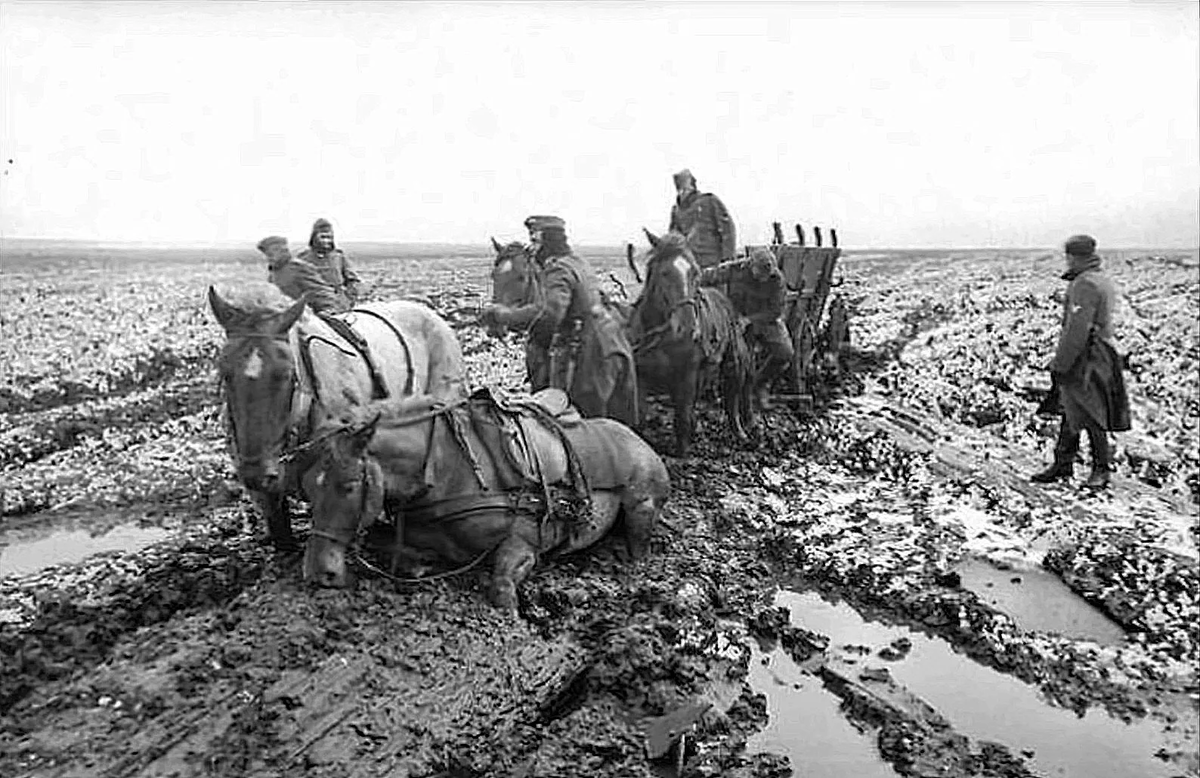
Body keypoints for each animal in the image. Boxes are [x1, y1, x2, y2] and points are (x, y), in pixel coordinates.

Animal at [304, 386, 672, 609]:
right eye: (308, 489)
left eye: (348, 486)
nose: (318, 574)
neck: (448, 471)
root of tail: (637, 437)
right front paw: (419, 562)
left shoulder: (524, 543)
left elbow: (502, 587)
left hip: (641, 504)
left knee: (639, 543)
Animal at [624, 228, 753, 456]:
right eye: (664, 273)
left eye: (695, 273)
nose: (688, 326)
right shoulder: (641, 377)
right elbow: (640, 420)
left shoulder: (687, 376)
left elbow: (682, 418)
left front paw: (683, 454)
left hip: (734, 365)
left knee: (732, 398)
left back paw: (740, 433)